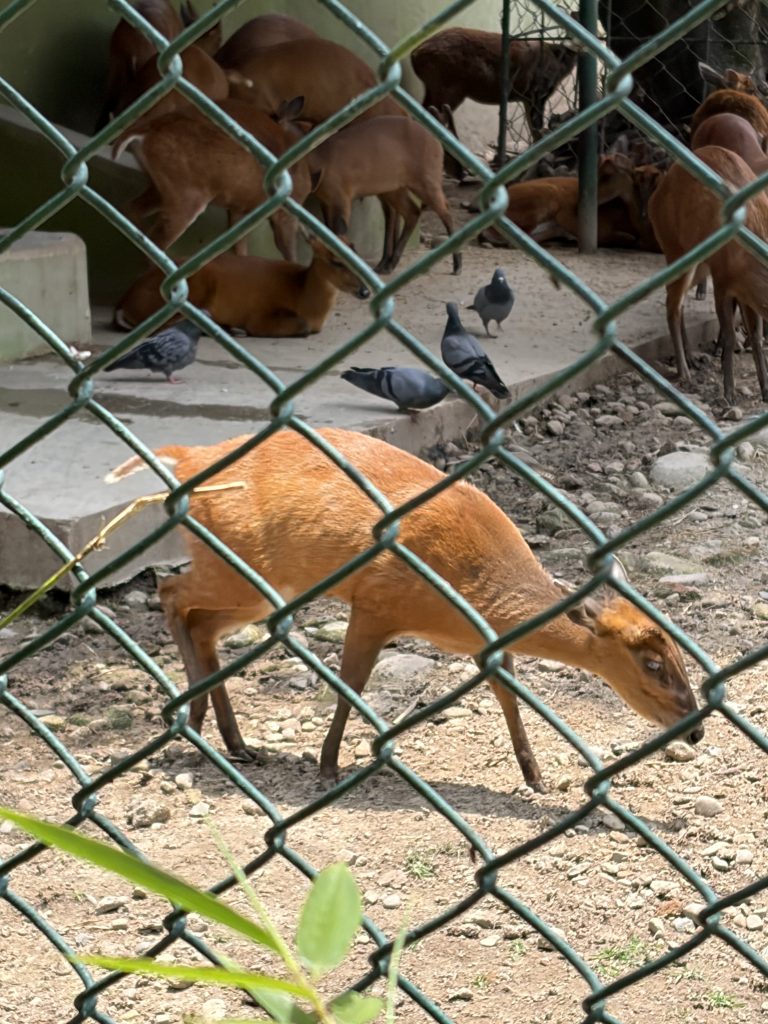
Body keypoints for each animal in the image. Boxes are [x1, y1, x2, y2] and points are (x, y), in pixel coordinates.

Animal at [105, 428, 704, 792]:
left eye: (678, 650)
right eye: (652, 662)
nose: (697, 730)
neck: (476, 590)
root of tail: (192, 456)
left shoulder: (485, 643)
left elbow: (508, 696)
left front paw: (534, 775)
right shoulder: (376, 601)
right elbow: (350, 683)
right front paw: (328, 766)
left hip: (257, 584)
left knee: (200, 621)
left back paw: (231, 740)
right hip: (241, 566)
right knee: (170, 592)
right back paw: (198, 723)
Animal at [113, 97, 310, 261]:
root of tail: (147, 130)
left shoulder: (240, 208)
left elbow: (239, 247)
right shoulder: (283, 212)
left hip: (162, 187)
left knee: (131, 209)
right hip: (187, 194)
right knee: (156, 239)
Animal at [114, 236, 370, 336]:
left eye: (357, 255)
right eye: (336, 261)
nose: (365, 291)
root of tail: (123, 302)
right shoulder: (260, 316)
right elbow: (302, 325)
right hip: (189, 291)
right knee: (158, 329)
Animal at [309, 115, 461, 275]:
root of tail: (437, 143)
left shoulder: (342, 197)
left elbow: (338, 231)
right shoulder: (326, 201)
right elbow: (328, 229)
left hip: (426, 181)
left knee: (445, 211)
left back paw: (457, 265)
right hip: (394, 189)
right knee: (412, 212)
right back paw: (388, 264)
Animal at [648, 144, 768, 405]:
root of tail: (654, 197)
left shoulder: (745, 291)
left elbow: (756, 335)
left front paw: (765, 389)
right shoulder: (722, 279)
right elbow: (732, 336)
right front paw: (729, 392)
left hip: (698, 262)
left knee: (676, 298)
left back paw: (691, 359)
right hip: (675, 247)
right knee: (672, 304)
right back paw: (684, 371)